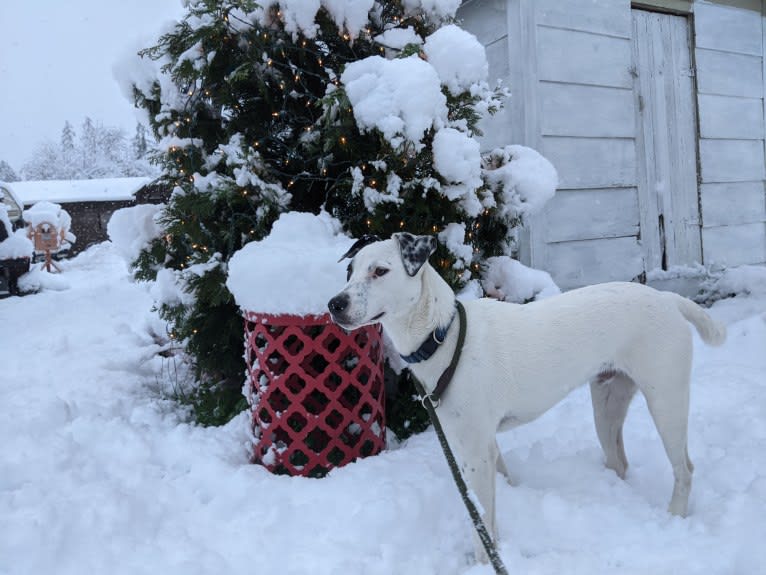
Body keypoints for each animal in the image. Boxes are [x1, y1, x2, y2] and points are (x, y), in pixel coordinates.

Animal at [328, 232, 728, 560]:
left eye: (380, 271)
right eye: (349, 270)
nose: (335, 304)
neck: (444, 336)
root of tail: (668, 297)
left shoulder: (475, 452)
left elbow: (482, 525)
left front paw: (482, 561)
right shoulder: (481, 444)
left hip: (666, 399)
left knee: (684, 468)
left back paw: (674, 515)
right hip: (607, 402)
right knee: (620, 460)